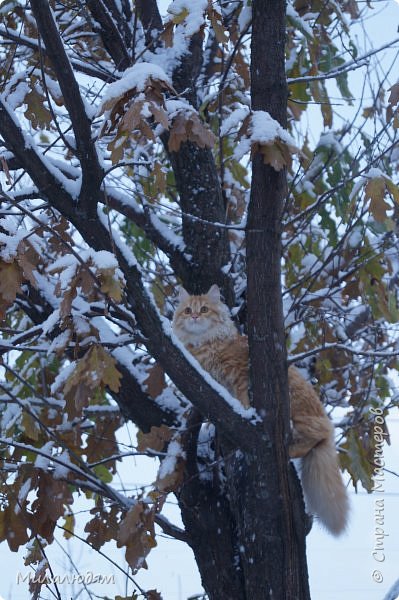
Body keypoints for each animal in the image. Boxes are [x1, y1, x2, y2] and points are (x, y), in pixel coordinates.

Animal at [172, 284, 350, 536]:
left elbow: (242, 397)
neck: (205, 343)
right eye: (188, 310)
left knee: (314, 437)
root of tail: (327, 426)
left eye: (204, 309)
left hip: (302, 413)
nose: (195, 317)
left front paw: (246, 412)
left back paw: (292, 448)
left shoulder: (239, 376)